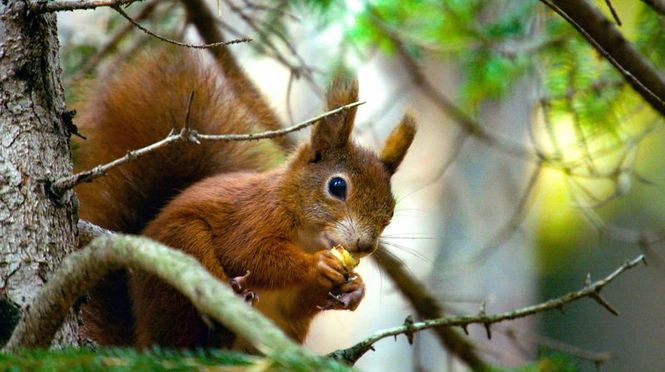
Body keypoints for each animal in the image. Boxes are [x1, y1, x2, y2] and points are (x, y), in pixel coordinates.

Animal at [74, 47, 416, 348]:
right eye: (337, 186)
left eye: (391, 211)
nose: (365, 246)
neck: (307, 235)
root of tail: (142, 339)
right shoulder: (252, 216)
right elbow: (250, 253)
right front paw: (317, 264)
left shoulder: (290, 306)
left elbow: (300, 303)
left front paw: (355, 290)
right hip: (182, 247)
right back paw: (233, 294)